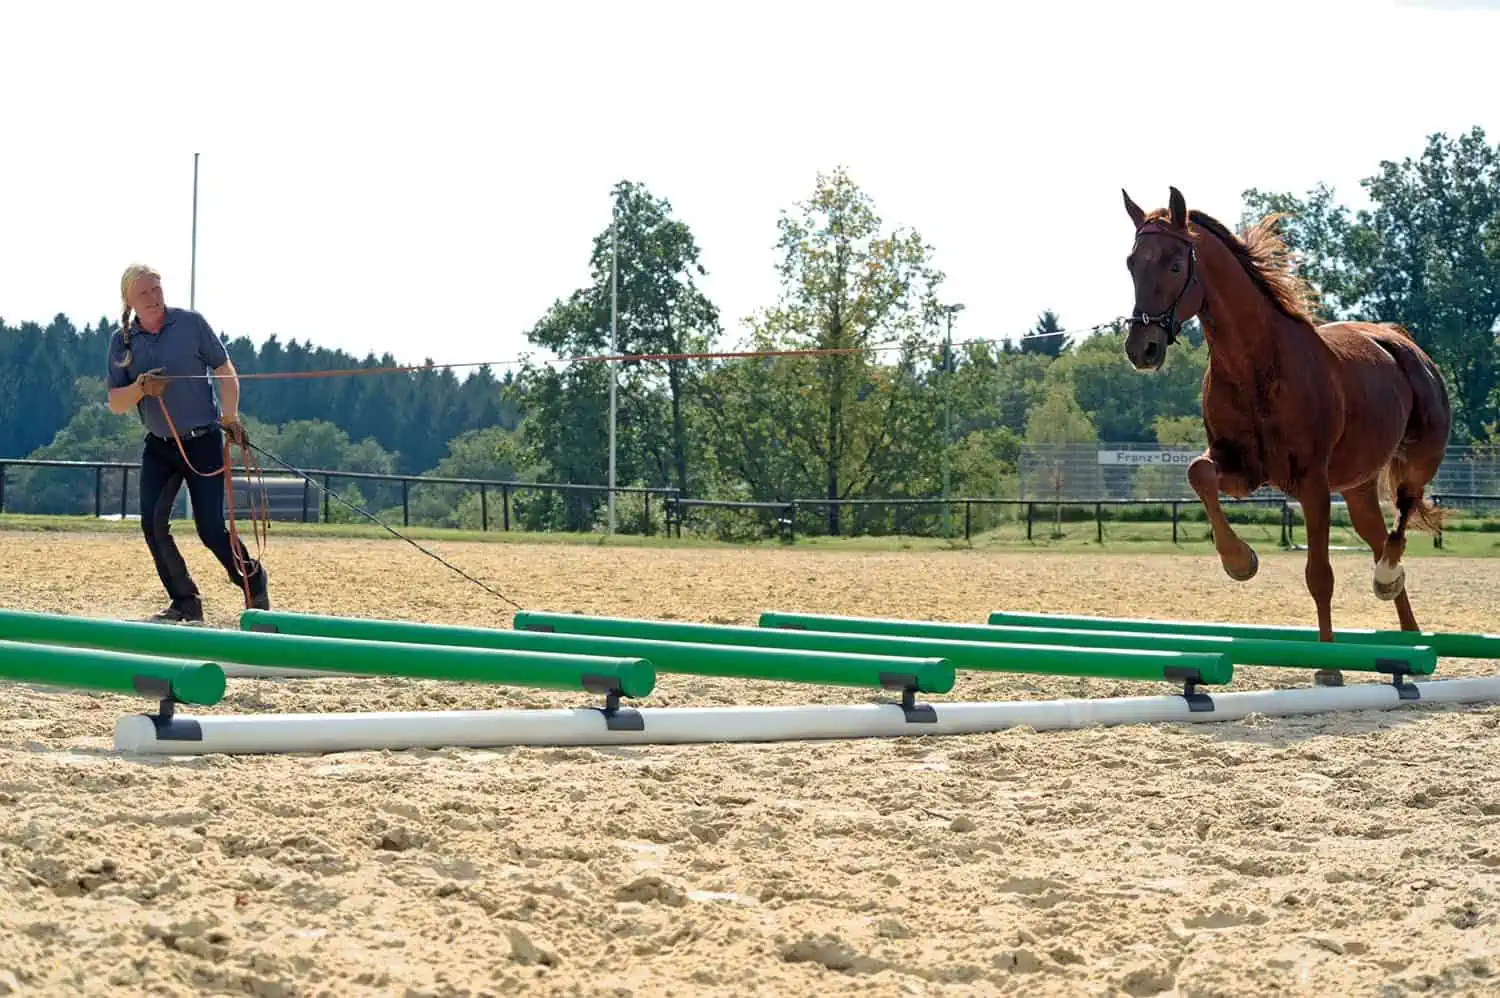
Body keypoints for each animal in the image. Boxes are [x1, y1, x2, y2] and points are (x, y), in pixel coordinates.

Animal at [1122, 189, 1446, 678]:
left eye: (1176, 266)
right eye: (1131, 263)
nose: (1142, 348)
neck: (1255, 363)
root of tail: (1398, 340)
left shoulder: (1311, 484)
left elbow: (1320, 574)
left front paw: (1328, 666)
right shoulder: (1240, 469)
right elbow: (1199, 474)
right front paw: (1240, 561)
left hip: (1417, 460)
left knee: (1402, 518)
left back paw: (1388, 581)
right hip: (1357, 488)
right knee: (1377, 537)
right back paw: (1409, 633)